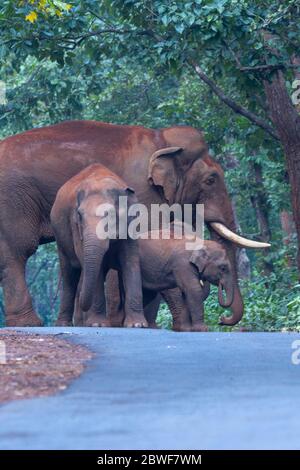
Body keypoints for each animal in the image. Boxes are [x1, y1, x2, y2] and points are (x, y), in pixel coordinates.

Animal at [51, 163, 147, 328]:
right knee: (70, 275)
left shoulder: (132, 224)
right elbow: (92, 264)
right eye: (79, 215)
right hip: (61, 239)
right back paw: (64, 325)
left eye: (110, 215)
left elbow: (130, 261)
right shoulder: (75, 227)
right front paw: (97, 325)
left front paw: (137, 325)